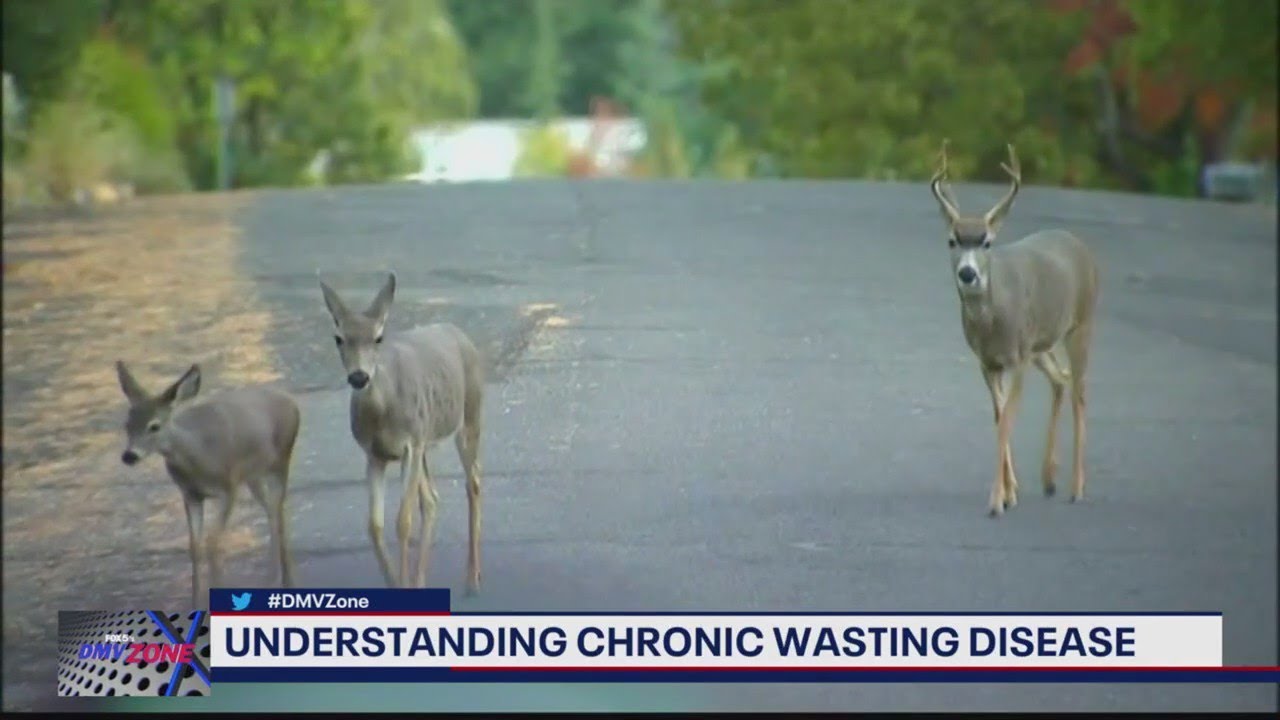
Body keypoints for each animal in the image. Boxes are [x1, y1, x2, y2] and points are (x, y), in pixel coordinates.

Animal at [114, 362, 300, 608]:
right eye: (127, 424)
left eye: (154, 426)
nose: (129, 456)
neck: (198, 457)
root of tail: (290, 401)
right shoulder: (190, 494)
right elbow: (195, 546)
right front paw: (196, 606)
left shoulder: (228, 487)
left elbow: (214, 543)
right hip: (253, 476)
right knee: (271, 510)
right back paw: (272, 578)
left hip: (280, 462)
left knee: (279, 513)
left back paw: (286, 581)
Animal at [318, 272, 485, 593]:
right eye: (338, 338)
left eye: (378, 337)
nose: (359, 376)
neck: (384, 412)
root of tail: (460, 334)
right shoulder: (374, 454)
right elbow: (375, 525)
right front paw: (397, 581)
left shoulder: (410, 446)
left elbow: (403, 521)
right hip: (426, 442)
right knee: (432, 500)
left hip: (469, 417)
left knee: (473, 483)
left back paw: (472, 579)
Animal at [928, 140, 1101, 517]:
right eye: (952, 240)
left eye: (987, 241)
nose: (968, 273)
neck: (992, 323)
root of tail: (1080, 244)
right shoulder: (988, 362)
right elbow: (998, 415)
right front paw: (1010, 492)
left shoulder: (1016, 358)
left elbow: (1007, 417)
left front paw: (996, 500)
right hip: (1042, 344)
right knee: (1061, 378)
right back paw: (1049, 479)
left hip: (1081, 324)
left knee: (1080, 392)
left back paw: (1077, 488)